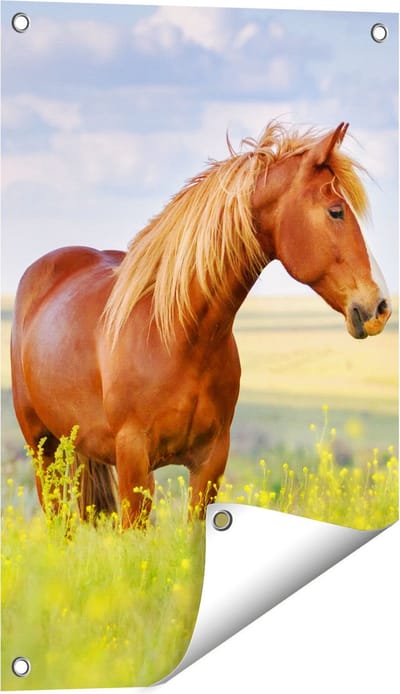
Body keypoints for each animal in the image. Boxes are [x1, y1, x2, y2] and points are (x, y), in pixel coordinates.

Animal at [10, 121, 392, 528]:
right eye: (336, 212)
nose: (381, 306)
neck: (178, 337)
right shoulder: (133, 461)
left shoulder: (210, 462)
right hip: (43, 450)